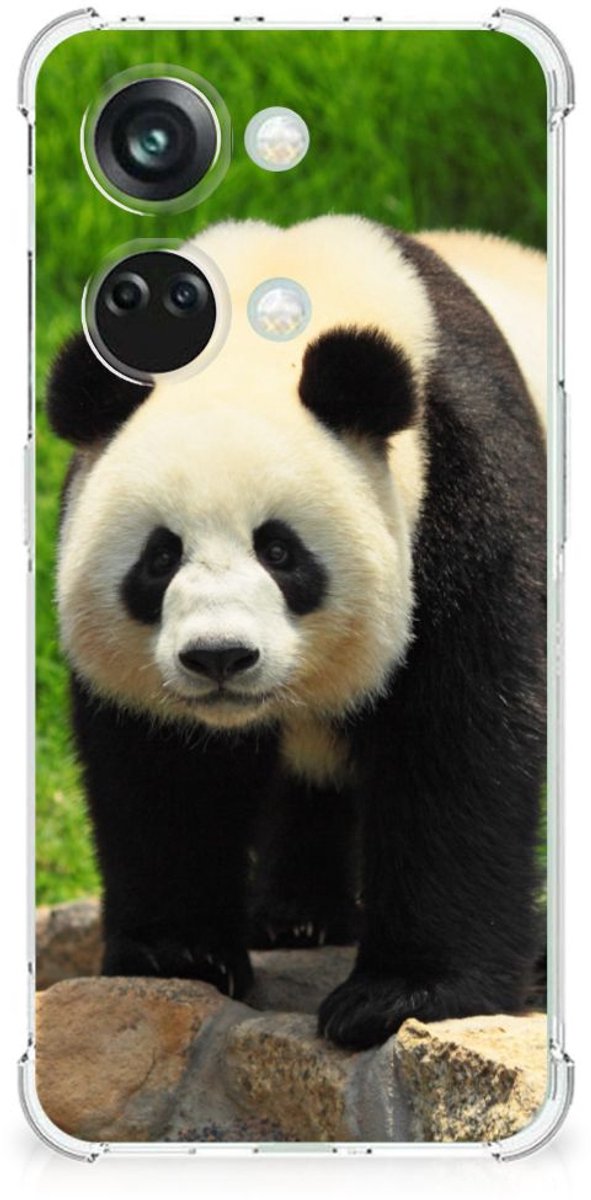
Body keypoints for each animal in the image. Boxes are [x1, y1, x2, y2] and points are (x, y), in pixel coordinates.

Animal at [47, 216, 546, 1050]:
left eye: (279, 551)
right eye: (159, 556)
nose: (219, 657)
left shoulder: (465, 488)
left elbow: (461, 740)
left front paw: (400, 996)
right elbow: (163, 769)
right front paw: (178, 954)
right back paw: (295, 916)